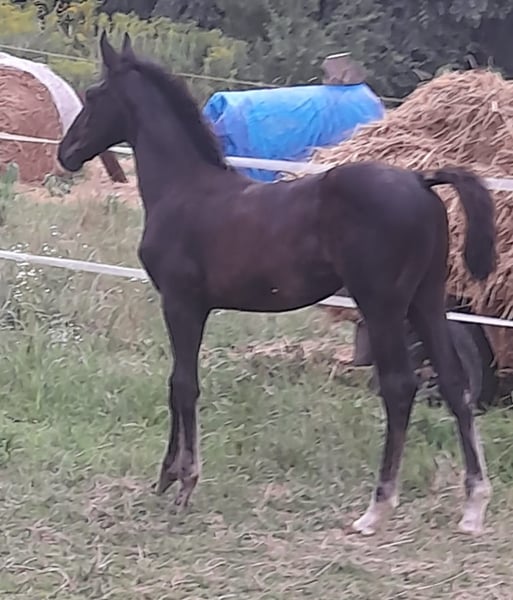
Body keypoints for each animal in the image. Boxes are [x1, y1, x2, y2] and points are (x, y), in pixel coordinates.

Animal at [57, 32, 497, 536]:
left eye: (94, 95)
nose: (65, 153)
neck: (185, 190)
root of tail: (422, 180)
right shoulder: (188, 307)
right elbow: (177, 384)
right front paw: (168, 478)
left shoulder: (182, 303)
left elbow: (183, 384)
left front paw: (183, 483)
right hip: (427, 301)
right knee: (455, 385)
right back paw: (473, 505)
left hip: (383, 304)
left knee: (400, 388)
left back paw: (376, 508)